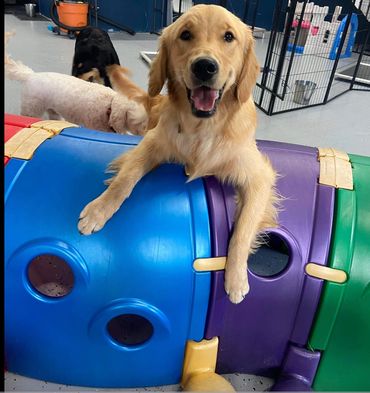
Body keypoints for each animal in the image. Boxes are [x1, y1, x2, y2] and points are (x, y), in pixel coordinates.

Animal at [79, 3, 278, 304]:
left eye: (228, 37)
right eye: (185, 35)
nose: (205, 66)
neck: (203, 127)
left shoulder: (259, 176)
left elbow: (243, 228)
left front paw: (236, 278)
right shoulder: (153, 142)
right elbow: (124, 179)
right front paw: (98, 209)